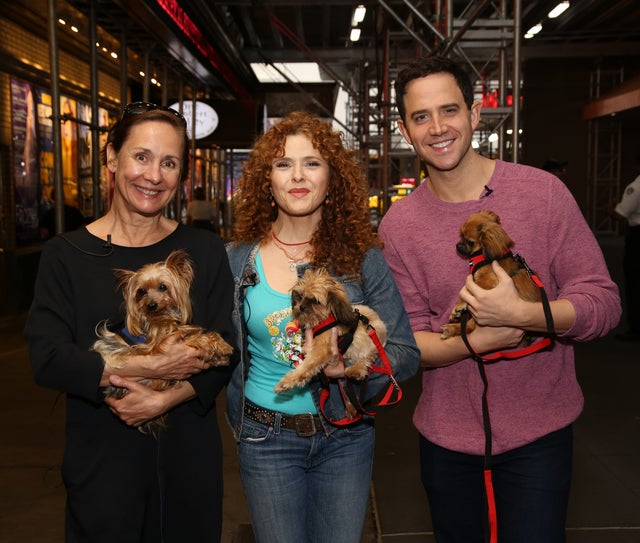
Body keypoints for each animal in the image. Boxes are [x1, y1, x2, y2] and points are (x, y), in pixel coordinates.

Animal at [92, 249, 232, 436]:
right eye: (141, 291)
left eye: (163, 287)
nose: (151, 305)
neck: (162, 317)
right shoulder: (156, 346)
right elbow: (192, 339)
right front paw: (212, 347)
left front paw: (221, 349)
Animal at [442, 211, 544, 340]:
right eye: (461, 235)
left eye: (470, 242)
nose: (457, 245)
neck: (481, 254)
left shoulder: (490, 279)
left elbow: (471, 286)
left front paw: (459, 305)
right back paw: (452, 329)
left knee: (471, 326)